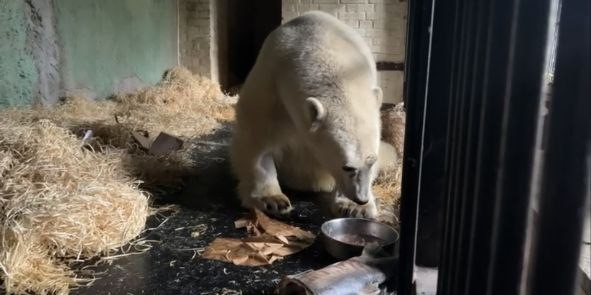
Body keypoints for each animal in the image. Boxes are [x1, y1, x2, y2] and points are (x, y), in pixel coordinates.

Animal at [230, 11, 394, 220]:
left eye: (371, 161)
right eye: (347, 167)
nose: (361, 199)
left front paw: (355, 208)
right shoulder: (272, 87)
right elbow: (257, 138)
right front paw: (273, 201)